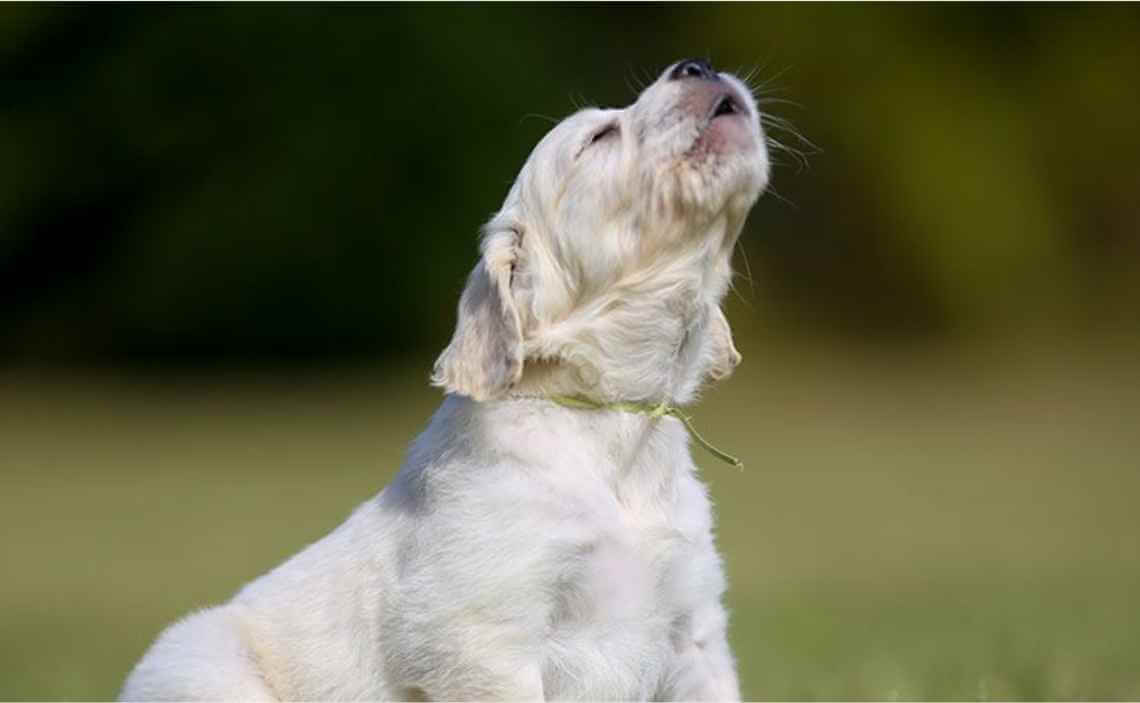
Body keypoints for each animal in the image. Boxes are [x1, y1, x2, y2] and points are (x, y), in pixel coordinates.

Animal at [120, 57, 770, 697]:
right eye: (599, 137)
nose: (698, 66)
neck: (609, 418)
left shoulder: (695, 638)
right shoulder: (482, 639)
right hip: (202, 662)